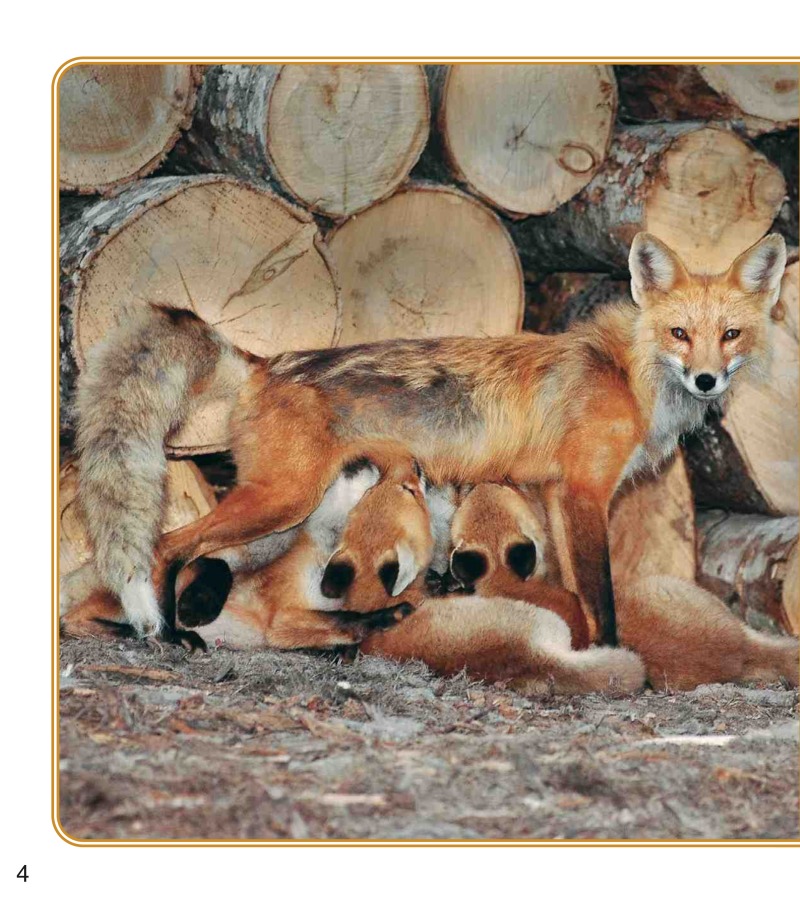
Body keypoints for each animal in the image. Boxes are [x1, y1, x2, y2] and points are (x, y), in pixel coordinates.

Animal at [75, 232, 787, 641]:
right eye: (679, 334)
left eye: (730, 335)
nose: (705, 381)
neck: (629, 376)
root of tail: (264, 363)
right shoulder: (585, 490)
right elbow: (603, 597)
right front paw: (615, 661)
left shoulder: (559, 495)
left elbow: (575, 589)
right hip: (282, 501)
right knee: (167, 545)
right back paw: (164, 633)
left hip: (285, 508)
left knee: (196, 554)